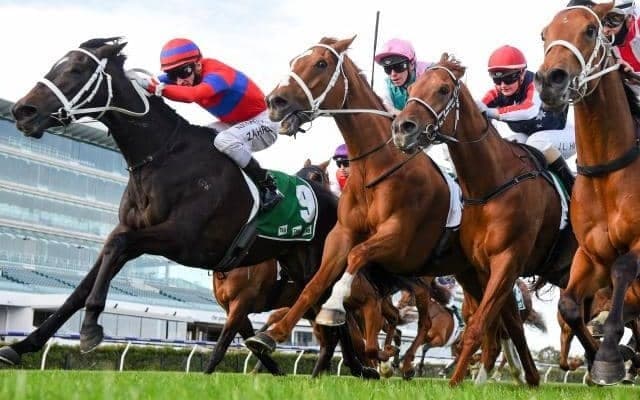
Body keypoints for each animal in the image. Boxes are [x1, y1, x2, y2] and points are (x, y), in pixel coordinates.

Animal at [4, 37, 377, 379]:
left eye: (77, 69)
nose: (24, 111)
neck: (162, 156)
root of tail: (339, 202)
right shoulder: (134, 231)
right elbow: (85, 282)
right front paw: (20, 347)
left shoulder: (183, 239)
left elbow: (118, 250)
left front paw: (92, 327)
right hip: (299, 269)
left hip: (316, 261)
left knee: (337, 317)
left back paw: (361, 367)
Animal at [243, 36, 538, 387]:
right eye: (294, 61)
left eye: (320, 64)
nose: (275, 101)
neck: (377, 167)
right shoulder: (343, 233)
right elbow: (317, 282)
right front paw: (271, 334)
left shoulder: (399, 238)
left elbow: (356, 258)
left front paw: (335, 310)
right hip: (472, 273)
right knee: (493, 321)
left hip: (481, 270)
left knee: (473, 322)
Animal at [391, 53, 576, 385]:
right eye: (412, 88)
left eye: (442, 90)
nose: (402, 128)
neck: (491, 184)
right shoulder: (482, 266)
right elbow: (506, 325)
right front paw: (528, 377)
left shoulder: (507, 260)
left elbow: (480, 325)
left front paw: (455, 382)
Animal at [536, 3, 640, 384]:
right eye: (545, 33)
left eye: (590, 30)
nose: (551, 79)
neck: (607, 171)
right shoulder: (589, 254)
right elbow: (568, 306)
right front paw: (601, 359)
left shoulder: (637, 244)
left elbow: (623, 268)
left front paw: (609, 358)